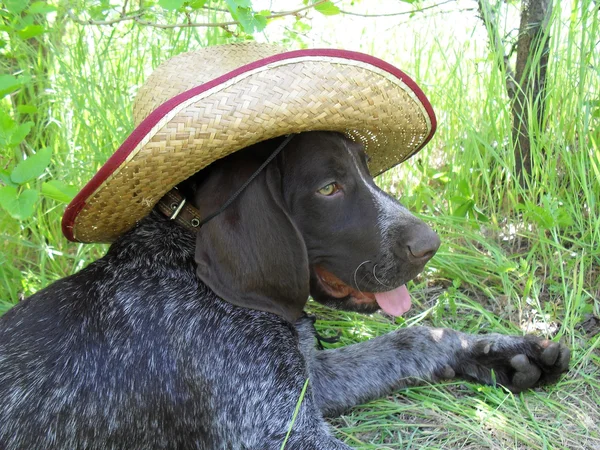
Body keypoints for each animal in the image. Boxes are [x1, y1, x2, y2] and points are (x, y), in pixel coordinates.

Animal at [0, 132, 572, 448]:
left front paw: (503, 352)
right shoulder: (279, 432)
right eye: (328, 188)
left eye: (366, 170)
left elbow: (410, 340)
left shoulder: (307, 382)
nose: (430, 245)